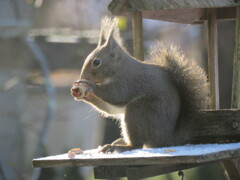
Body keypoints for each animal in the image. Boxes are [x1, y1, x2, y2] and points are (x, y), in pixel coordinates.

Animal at [70, 16, 209, 153]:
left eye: (97, 62)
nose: (83, 77)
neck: (119, 67)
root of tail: (166, 139)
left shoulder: (127, 82)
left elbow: (116, 95)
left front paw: (89, 86)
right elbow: (111, 109)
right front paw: (84, 95)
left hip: (139, 111)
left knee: (137, 144)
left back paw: (120, 146)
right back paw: (118, 142)